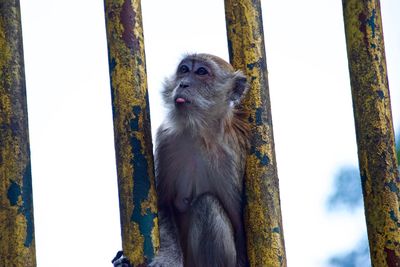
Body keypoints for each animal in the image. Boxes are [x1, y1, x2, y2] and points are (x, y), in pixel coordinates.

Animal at [112, 54, 250, 267]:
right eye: (184, 69)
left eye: (201, 72)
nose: (183, 84)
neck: (200, 134)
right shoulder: (167, 140)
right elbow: (163, 204)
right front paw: (168, 260)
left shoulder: (232, 156)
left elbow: (241, 231)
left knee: (207, 204)